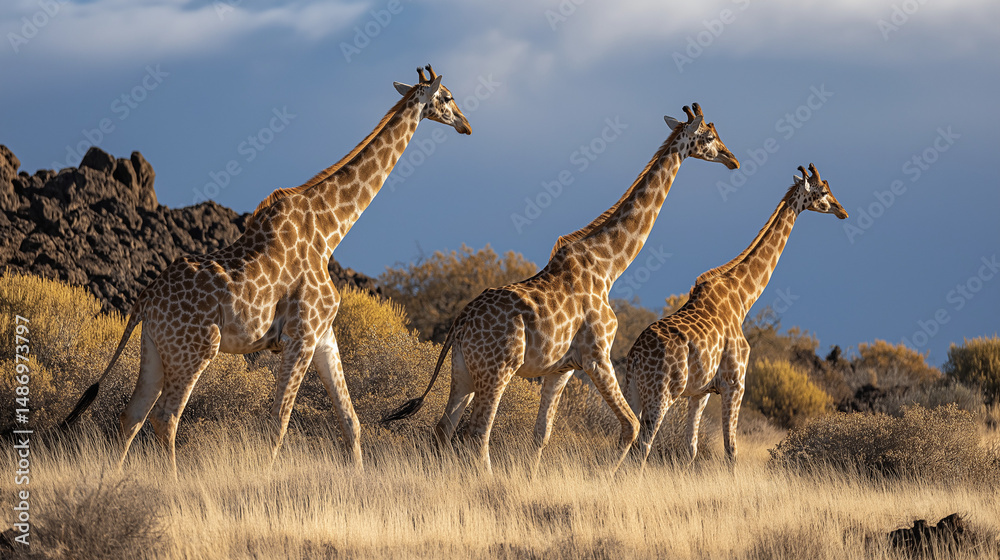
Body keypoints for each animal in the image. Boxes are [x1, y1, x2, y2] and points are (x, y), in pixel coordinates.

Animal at [60, 65, 472, 476]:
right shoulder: (299, 336)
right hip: (195, 348)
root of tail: (144, 299)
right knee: (165, 418)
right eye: (448, 96)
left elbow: (350, 421)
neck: (330, 231)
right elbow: (278, 423)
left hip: (156, 348)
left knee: (131, 416)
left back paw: (113, 479)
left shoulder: (323, 335)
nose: (466, 125)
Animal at [382, 103, 739, 474]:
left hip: (464, 370)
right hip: (499, 369)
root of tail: (461, 321)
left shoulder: (561, 369)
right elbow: (631, 426)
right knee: (478, 434)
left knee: (443, 429)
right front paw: (607, 479)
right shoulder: (597, 355)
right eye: (708, 137)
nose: (732, 159)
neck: (609, 267)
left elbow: (542, 434)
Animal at [624, 164, 847, 469]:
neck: (743, 299)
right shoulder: (735, 383)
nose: (841, 210)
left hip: (633, 390)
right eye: (823, 191)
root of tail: (635, 356)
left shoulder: (700, 392)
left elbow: (690, 448)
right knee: (643, 446)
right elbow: (731, 449)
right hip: (662, 394)